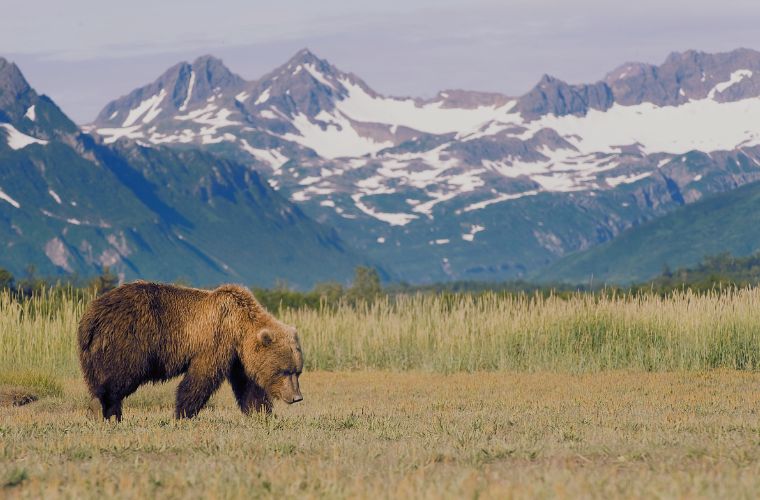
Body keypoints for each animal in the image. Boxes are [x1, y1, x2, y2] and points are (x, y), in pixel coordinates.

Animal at [77, 281, 303, 420]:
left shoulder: (238, 358)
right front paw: (182, 413)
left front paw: (262, 413)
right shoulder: (215, 341)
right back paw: (101, 409)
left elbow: (249, 386)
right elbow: (200, 379)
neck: (239, 327)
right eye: (284, 371)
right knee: (120, 376)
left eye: (297, 371)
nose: (297, 397)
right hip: (129, 340)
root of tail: (91, 315)